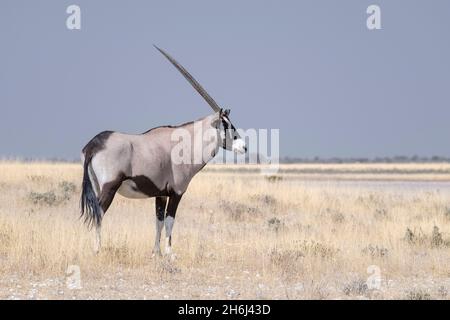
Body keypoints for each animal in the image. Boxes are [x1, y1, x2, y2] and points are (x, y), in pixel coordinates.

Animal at [82, 45, 248, 255]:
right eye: (226, 124)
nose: (243, 146)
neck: (186, 144)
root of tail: (94, 145)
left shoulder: (160, 194)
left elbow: (158, 222)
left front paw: (157, 252)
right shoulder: (176, 192)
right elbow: (170, 221)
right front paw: (170, 253)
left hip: (97, 186)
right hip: (109, 187)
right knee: (99, 214)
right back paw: (97, 249)